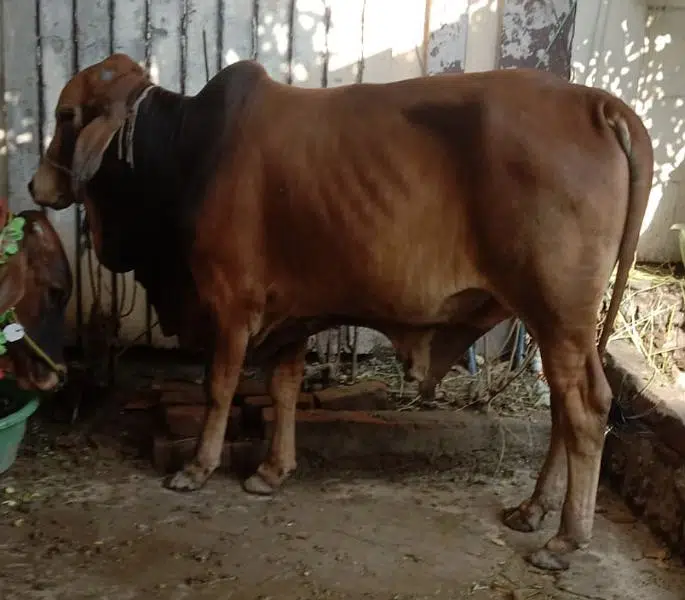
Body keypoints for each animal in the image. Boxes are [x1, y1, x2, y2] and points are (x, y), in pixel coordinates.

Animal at [28, 53, 652, 571]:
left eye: (65, 114)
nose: (36, 186)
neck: (186, 151)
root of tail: (595, 102)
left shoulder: (231, 303)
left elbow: (219, 387)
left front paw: (197, 469)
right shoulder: (290, 315)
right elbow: (281, 389)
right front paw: (270, 472)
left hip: (559, 314)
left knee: (586, 410)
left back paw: (564, 540)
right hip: (554, 324)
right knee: (562, 412)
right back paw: (533, 510)